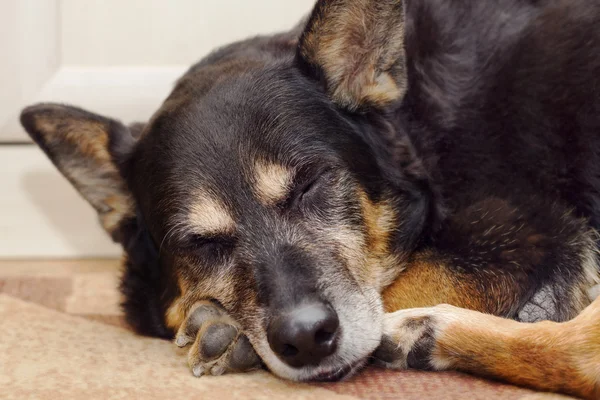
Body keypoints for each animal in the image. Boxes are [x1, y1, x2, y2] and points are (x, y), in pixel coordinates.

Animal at [18, 0, 600, 398]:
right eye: (201, 243)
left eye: (310, 185)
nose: (304, 339)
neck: (420, 136)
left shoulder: (520, 232)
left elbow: (405, 281)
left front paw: (229, 333)